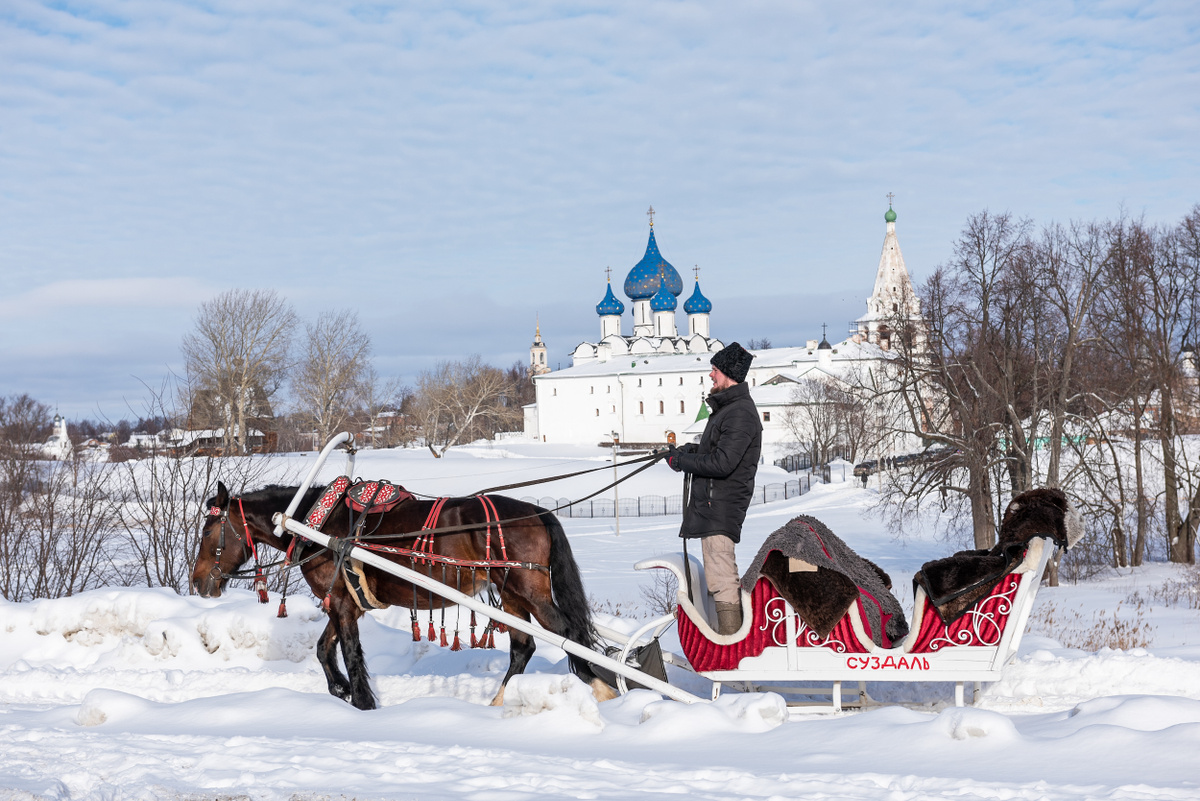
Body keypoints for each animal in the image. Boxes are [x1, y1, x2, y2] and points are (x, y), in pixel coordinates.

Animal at [193, 479, 619, 709]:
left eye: (208, 530)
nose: (198, 582)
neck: (318, 525)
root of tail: (536, 512)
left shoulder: (342, 603)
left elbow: (349, 652)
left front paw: (362, 702)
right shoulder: (346, 603)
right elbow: (324, 650)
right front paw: (340, 689)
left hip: (528, 588)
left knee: (569, 634)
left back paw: (603, 690)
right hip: (511, 594)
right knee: (523, 647)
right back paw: (499, 702)